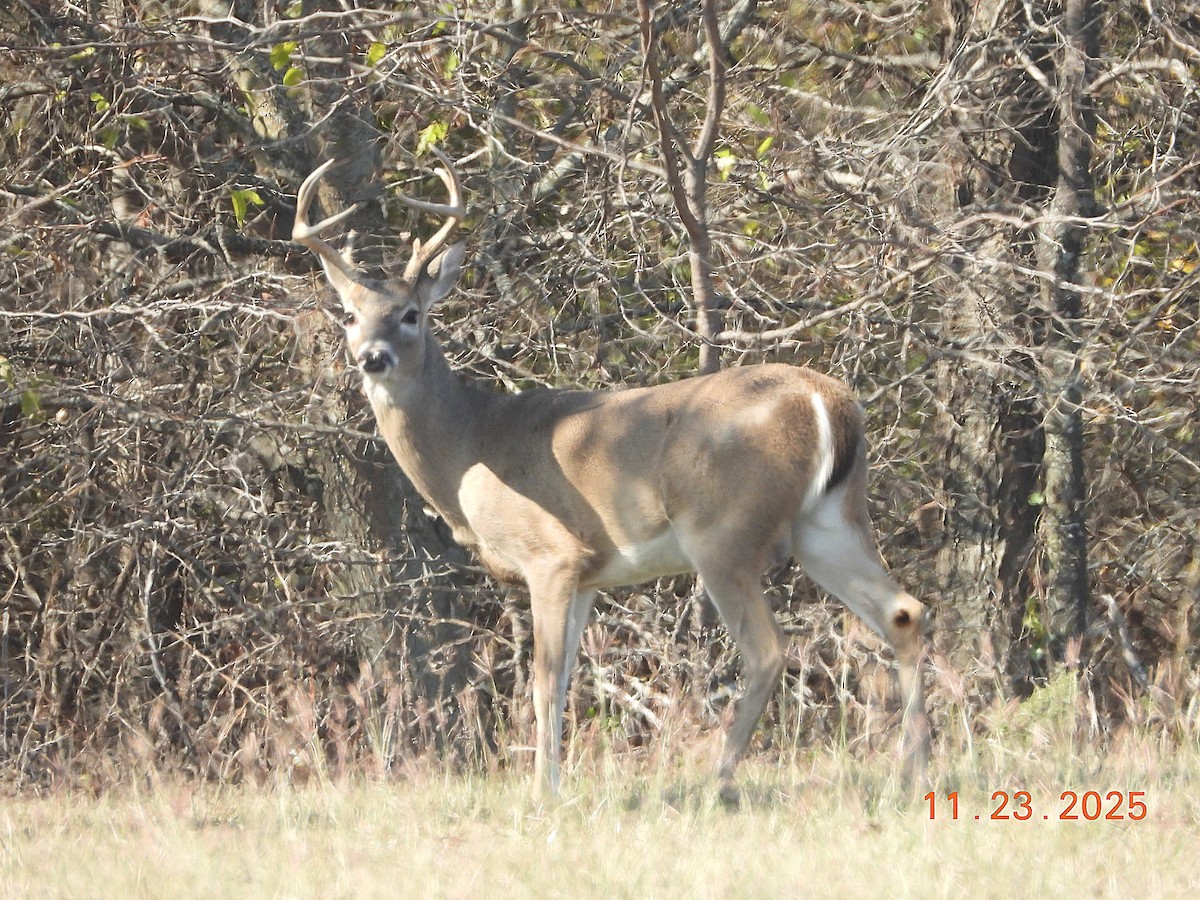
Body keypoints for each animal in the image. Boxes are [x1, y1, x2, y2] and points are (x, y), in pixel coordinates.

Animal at [293, 148, 931, 803]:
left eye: (411, 314)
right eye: (349, 315)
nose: (372, 357)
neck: (469, 448)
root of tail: (826, 400)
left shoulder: (551, 554)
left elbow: (545, 680)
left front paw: (543, 792)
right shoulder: (590, 574)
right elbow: (568, 678)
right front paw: (554, 783)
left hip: (723, 530)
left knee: (769, 651)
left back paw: (717, 782)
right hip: (829, 520)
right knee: (903, 612)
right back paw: (909, 774)